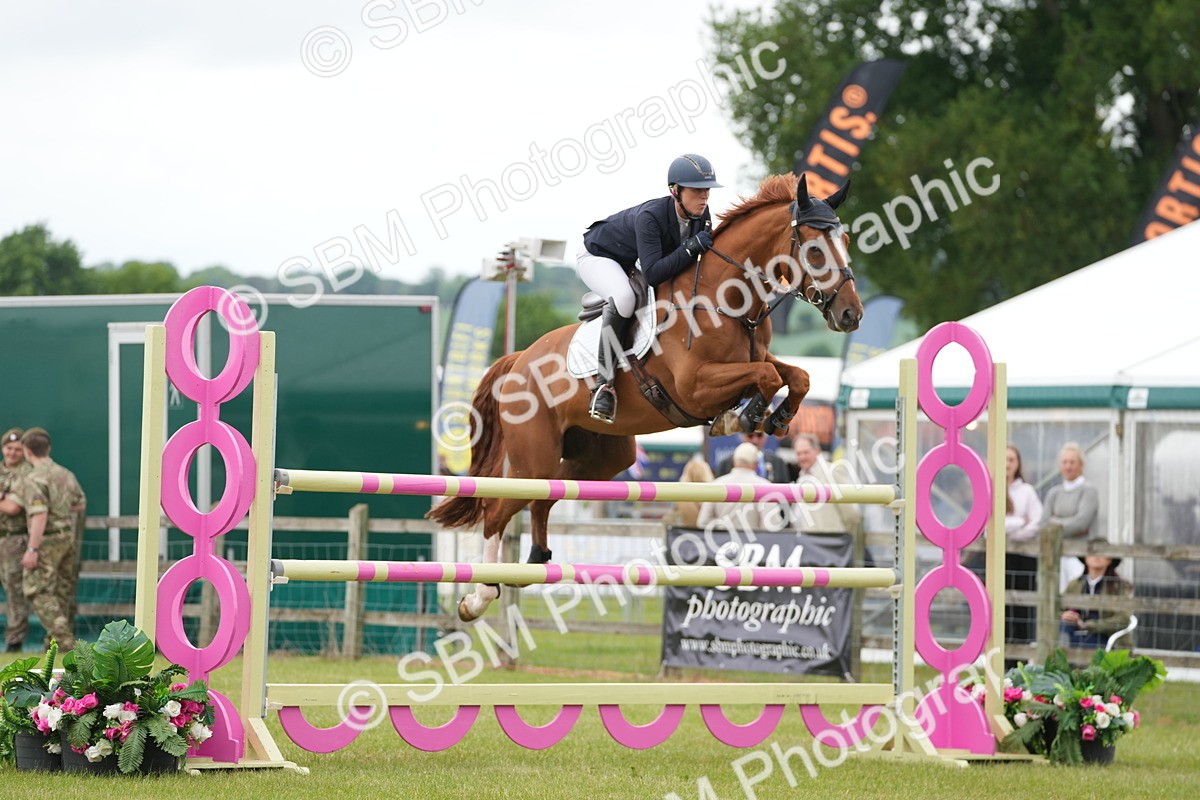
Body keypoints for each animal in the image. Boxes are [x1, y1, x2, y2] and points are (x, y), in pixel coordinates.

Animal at [428, 173, 864, 621]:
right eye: (814, 248)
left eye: (846, 239)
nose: (851, 315)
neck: (724, 299)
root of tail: (518, 360)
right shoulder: (695, 387)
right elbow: (765, 377)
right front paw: (746, 415)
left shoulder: (754, 360)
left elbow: (795, 375)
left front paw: (775, 417)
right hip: (533, 459)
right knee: (497, 509)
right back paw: (478, 596)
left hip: (602, 457)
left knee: (547, 497)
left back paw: (535, 561)